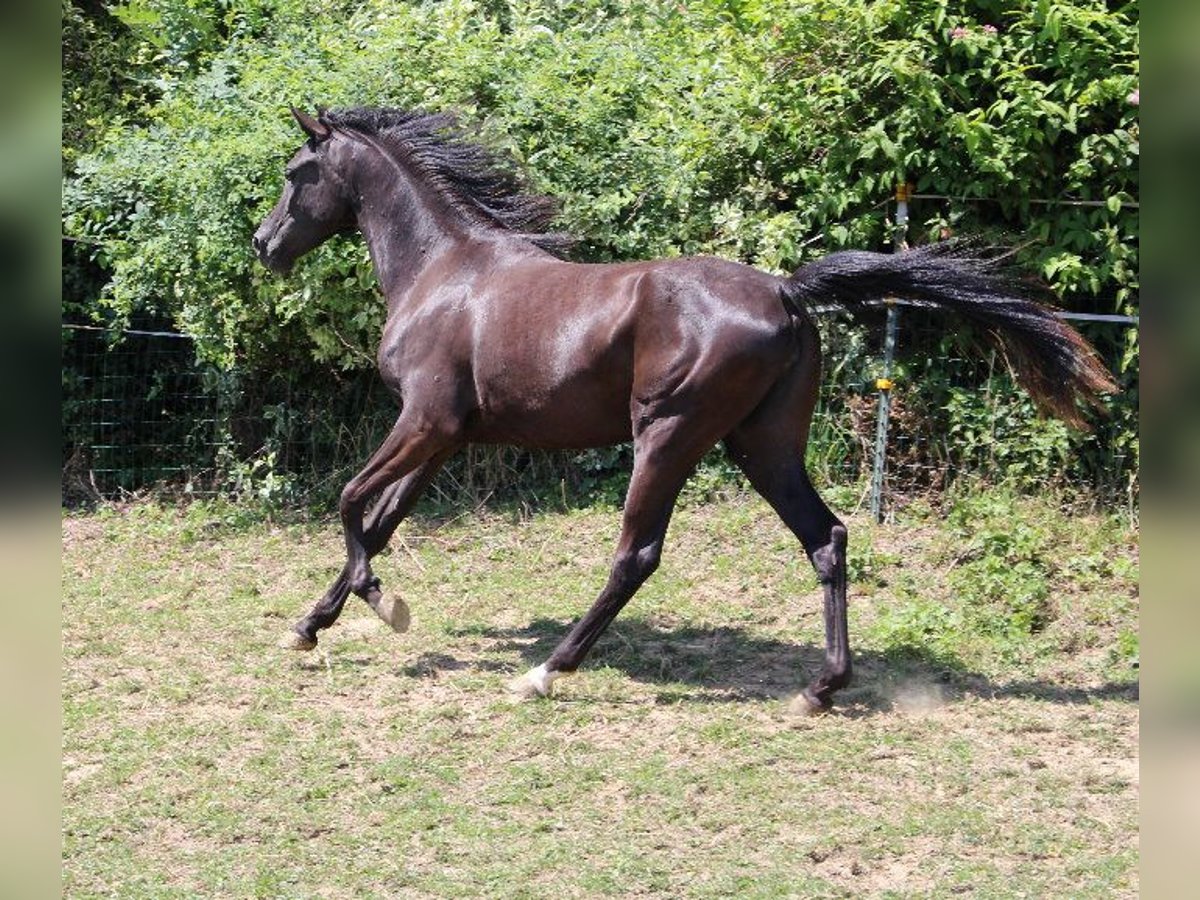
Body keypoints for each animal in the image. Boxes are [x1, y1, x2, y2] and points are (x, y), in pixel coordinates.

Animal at [253, 107, 1113, 710]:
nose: (264, 244)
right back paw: (820, 688)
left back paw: (546, 672)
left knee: (636, 554)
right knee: (826, 537)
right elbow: (380, 521)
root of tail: (788, 293)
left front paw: (382, 605)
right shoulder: (449, 436)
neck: (443, 272)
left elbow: (351, 502)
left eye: (298, 171)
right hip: (763, 445)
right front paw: (311, 625)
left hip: (668, 435)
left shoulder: (425, 421)